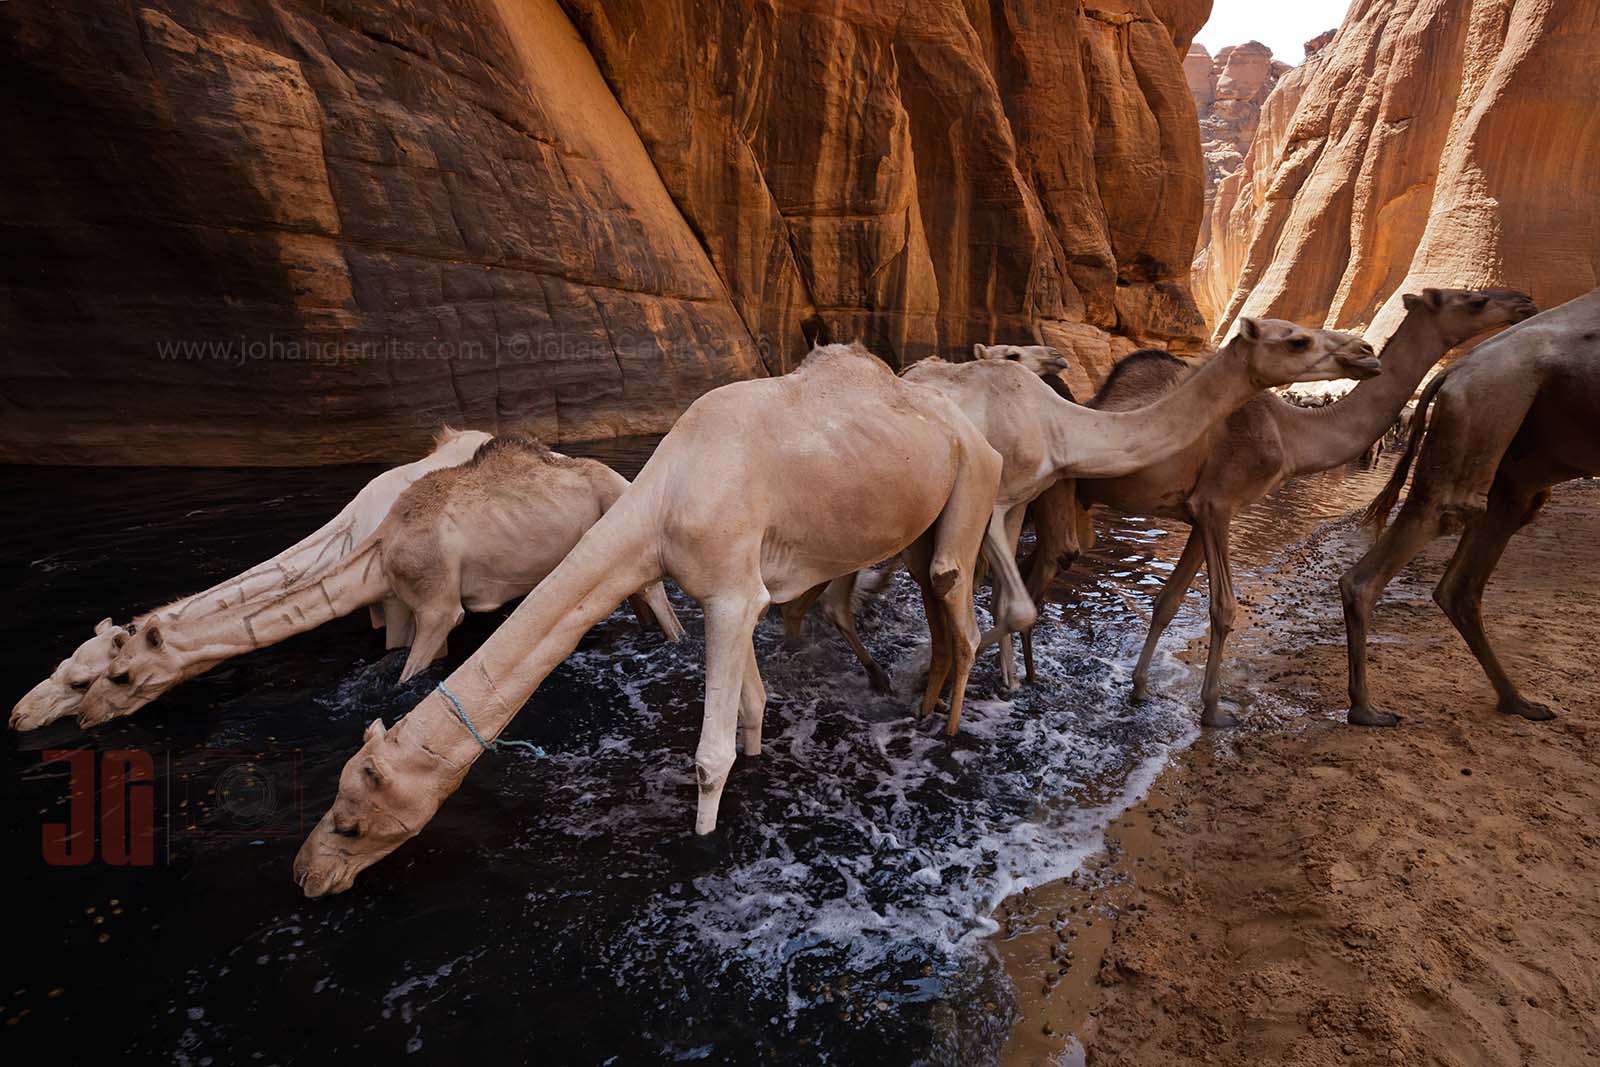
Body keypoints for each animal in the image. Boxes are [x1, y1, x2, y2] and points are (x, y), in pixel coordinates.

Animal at [73, 435, 684, 727]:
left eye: (121, 674)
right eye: (97, 674)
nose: (84, 717)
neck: (380, 551)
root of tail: (622, 475)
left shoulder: (438, 606)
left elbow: (408, 678)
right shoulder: (407, 608)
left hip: (626, 525)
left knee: (662, 608)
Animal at [291, 342, 1037, 896]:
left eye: (353, 820)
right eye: (337, 800)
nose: (306, 872)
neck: (662, 501)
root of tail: (964, 424)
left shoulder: (732, 594)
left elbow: (710, 756)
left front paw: (703, 846)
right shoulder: (730, 591)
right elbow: (753, 706)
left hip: (976, 477)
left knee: (956, 601)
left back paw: (948, 726)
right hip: (918, 521)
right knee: (936, 608)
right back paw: (917, 702)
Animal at [1070, 287, 1536, 726]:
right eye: (1475, 300)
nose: (1525, 303)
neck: (1293, 432)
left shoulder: (1202, 512)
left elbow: (1168, 600)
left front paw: (1140, 689)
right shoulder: (1219, 502)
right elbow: (1223, 608)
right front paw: (1214, 710)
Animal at [1341, 288, 1600, 726]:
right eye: (1474, 301)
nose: (1525, 300)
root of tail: (1452, 375)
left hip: (1513, 466)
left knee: (1461, 581)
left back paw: (1518, 701)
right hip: (1488, 414)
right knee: (1428, 525)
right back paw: (1366, 709)